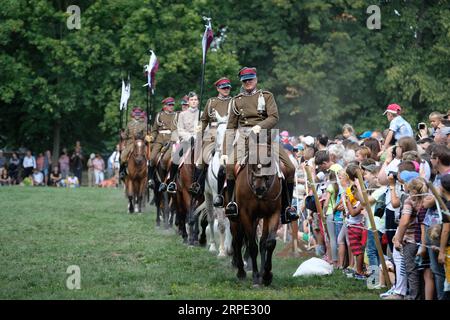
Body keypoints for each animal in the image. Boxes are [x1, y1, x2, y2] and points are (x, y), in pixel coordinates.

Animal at [229, 134, 282, 286]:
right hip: (235, 219)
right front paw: (256, 276)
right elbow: (252, 245)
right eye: (252, 160)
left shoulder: (273, 214)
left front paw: (266, 275)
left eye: (269, 163)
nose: (260, 188)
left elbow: (269, 243)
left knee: (261, 242)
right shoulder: (246, 214)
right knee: (237, 240)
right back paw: (241, 271)